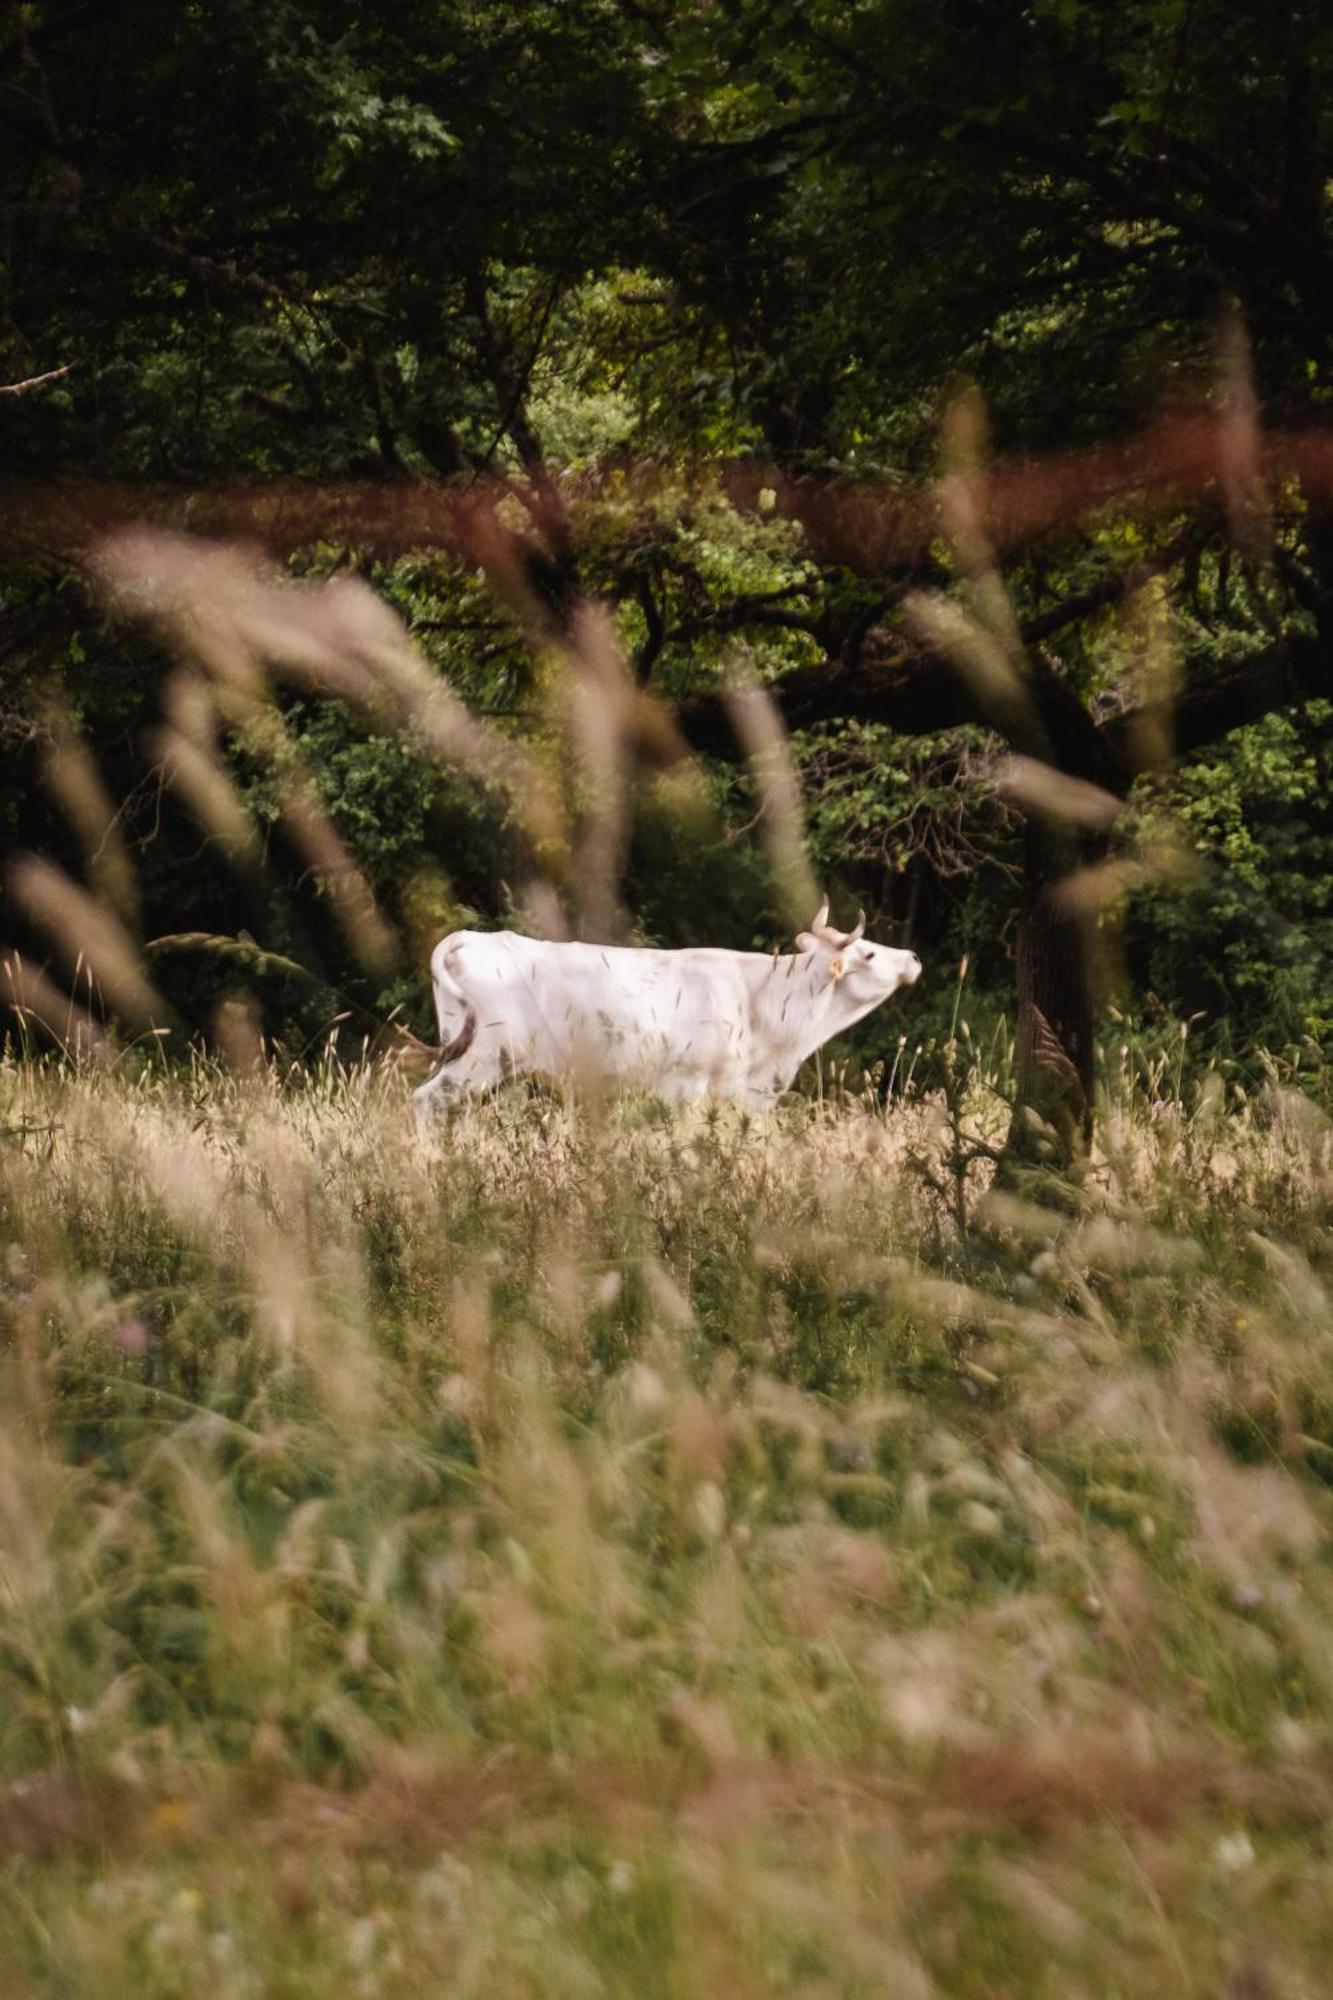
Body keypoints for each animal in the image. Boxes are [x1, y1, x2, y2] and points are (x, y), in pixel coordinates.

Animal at [410, 900, 920, 1120]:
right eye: (869, 953)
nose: (913, 957)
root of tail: (471, 937)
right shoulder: (687, 1086)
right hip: (477, 1060)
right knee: (425, 1101)